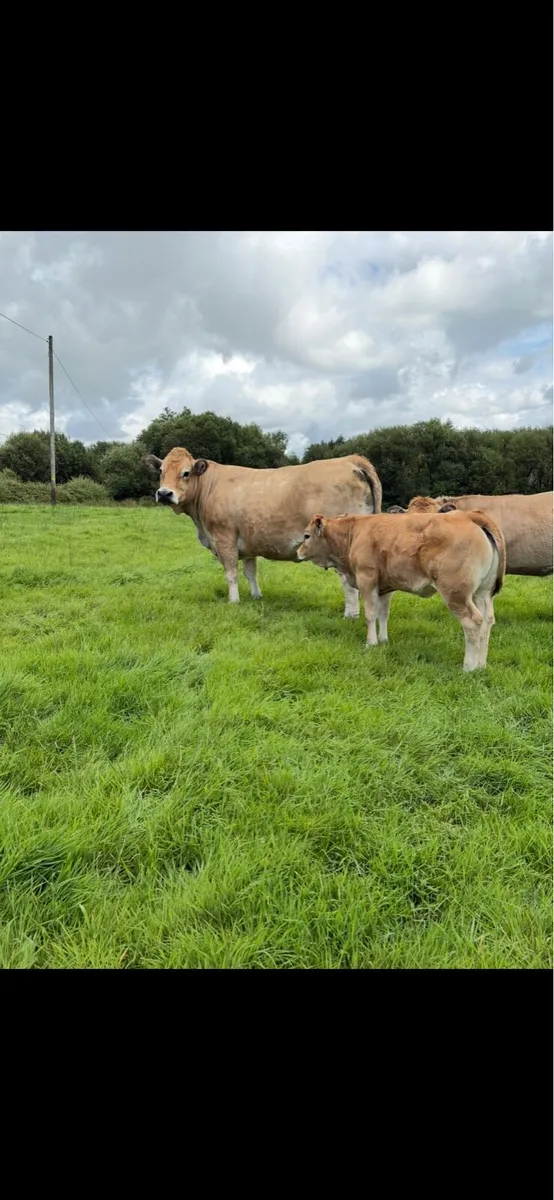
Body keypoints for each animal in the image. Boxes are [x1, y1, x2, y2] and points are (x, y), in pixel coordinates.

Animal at [143, 447, 382, 613]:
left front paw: (234, 601)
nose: (164, 493)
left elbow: (231, 573)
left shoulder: (224, 538)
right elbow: (250, 572)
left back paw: (350, 615)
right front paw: (256, 596)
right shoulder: (248, 542)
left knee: (348, 583)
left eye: (185, 473)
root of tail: (349, 459)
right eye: (161, 471)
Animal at [297, 509, 506, 671]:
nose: (298, 552)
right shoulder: (386, 587)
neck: (354, 533)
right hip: (482, 593)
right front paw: (383, 640)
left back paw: (469, 667)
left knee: (473, 622)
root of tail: (468, 515)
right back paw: (481, 665)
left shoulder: (366, 579)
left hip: (456, 593)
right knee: (487, 621)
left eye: (306, 535)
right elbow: (383, 614)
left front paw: (371, 643)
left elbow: (370, 614)